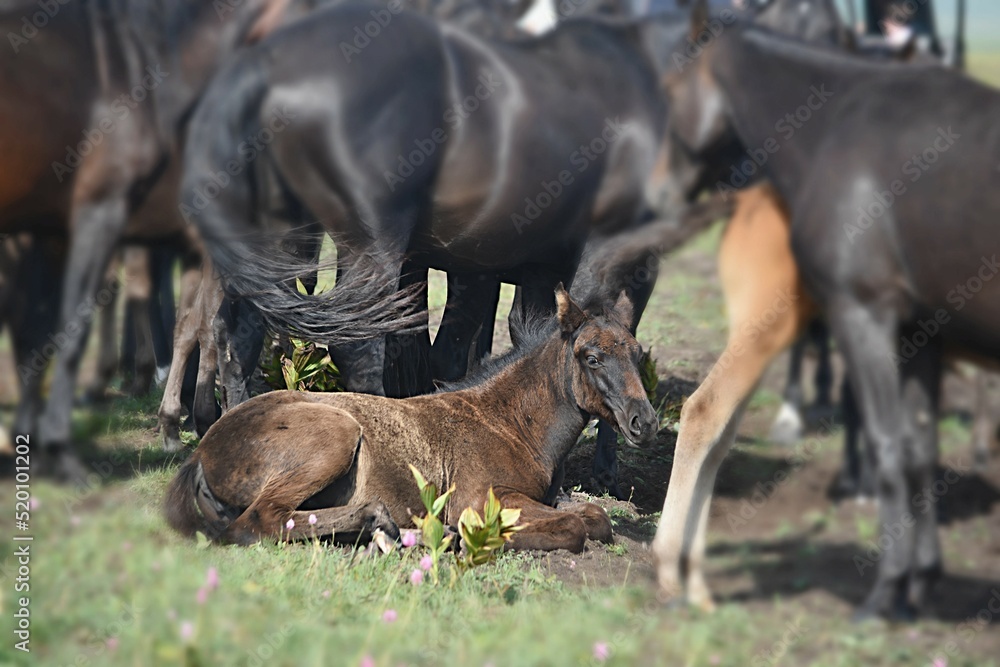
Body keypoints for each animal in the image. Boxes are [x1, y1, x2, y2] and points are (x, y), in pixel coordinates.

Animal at [165, 286, 658, 550]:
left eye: (637, 354)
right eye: (592, 358)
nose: (646, 423)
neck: (512, 424)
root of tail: (203, 451)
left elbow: (594, 515)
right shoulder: (479, 499)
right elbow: (576, 526)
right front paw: (467, 536)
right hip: (337, 434)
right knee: (259, 521)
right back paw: (389, 524)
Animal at [653, 2, 1000, 619]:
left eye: (671, 88)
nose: (661, 189)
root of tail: (749, 203)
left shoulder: (910, 332)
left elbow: (917, 447)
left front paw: (916, 583)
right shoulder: (875, 318)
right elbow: (896, 445)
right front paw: (891, 591)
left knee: (720, 421)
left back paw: (691, 579)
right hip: (772, 325)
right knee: (706, 411)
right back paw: (677, 575)